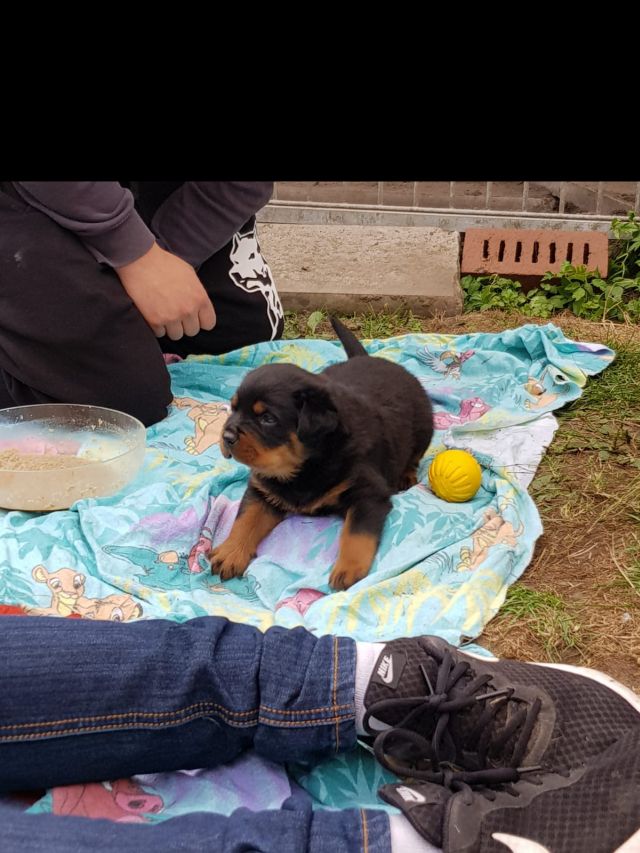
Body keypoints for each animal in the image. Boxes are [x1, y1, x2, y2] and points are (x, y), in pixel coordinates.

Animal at [209, 317, 434, 590]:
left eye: (268, 419)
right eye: (233, 409)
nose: (227, 437)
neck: (303, 466)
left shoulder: (368, 493)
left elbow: (356, 533)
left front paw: (348, 569)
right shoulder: (263, 490)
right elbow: (245, 520)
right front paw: (230, 552)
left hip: (424, 426)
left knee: (414, 455)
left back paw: (406, 475)